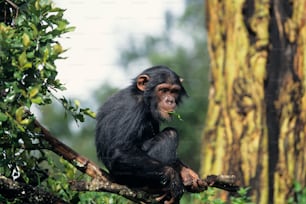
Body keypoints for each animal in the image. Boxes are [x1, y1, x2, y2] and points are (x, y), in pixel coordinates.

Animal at [96, 65, 206, 202]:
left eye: (174, 91)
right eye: (163, 90)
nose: (170, 100)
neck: (144, 98)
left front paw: (187, 174)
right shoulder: (132, 108)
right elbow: (119, 152)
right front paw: (173, 176)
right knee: (171, 134)